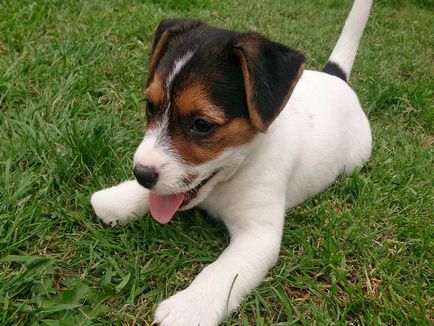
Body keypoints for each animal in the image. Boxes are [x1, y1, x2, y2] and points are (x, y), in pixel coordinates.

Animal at [90, 1, 372, 324]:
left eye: (202, 125)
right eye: (150, 106)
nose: (141, 174)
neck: (231, 176)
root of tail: (335, 77)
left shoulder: (258, 234)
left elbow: (222, 271)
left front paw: (188, 308)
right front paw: (119, 199)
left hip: (357, 158)